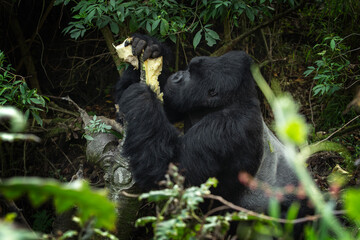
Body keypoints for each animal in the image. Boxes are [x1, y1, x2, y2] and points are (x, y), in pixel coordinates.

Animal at [116, 33, 304, 214]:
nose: (177, 75)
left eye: (191, 75)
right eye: (188, 69)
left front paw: (142, 99)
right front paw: (149, 46)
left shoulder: (225, 127)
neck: (231, 101)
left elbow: (173, 177)